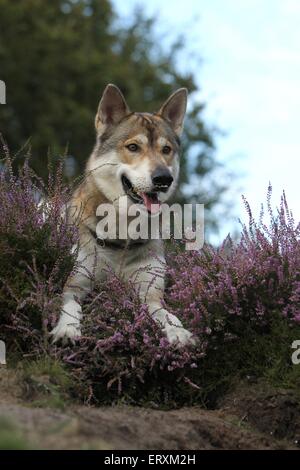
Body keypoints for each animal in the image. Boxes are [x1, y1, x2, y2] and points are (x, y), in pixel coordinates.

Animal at [51, 84, 195, 346]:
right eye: (133, 147)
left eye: (166, 150)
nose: (164, 178)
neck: (124, 231)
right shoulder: (75, 283)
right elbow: (70, 307)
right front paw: (66, 329)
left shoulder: (149, 292)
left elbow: (166, 314)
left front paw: (177, 331)